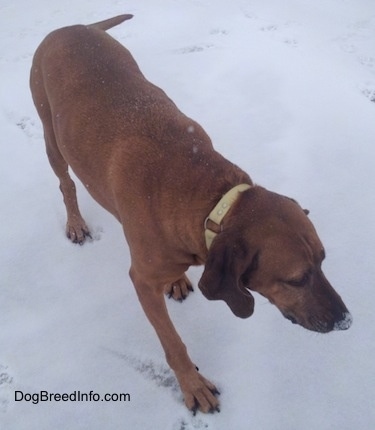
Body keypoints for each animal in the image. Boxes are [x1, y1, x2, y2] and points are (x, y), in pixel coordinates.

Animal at [30, 15, 352, 414]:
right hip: (51, 137)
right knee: (66, 184)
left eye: (322, 261)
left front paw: (178, 279)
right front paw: (193, 385)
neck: (207, 197)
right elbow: (172, 342)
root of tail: (74, 25)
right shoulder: (141, 281)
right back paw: (75, 223)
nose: (345, 321)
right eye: (295, 280)